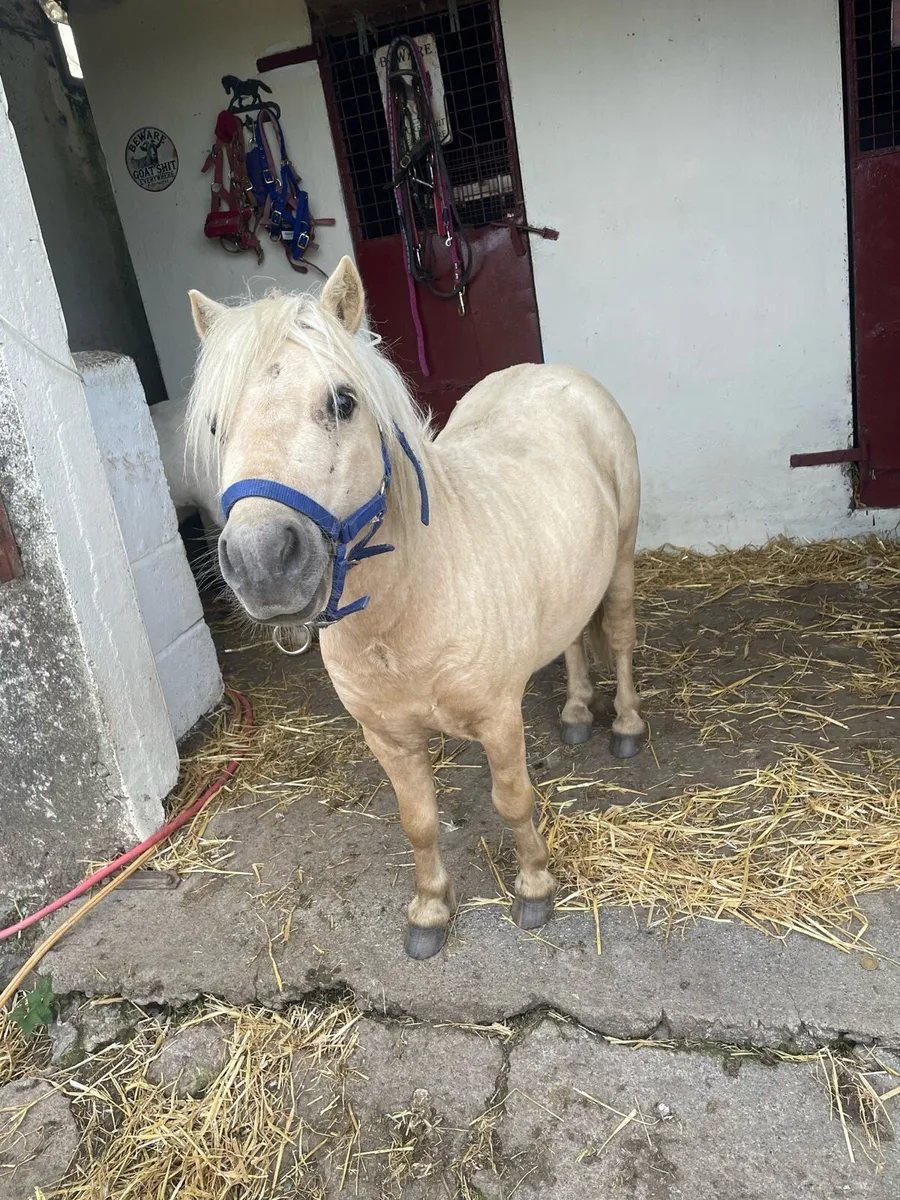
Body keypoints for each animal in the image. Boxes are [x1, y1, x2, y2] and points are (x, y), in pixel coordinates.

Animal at [186, 255, 646, 959]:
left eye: (342, 402)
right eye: (215, 425)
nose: (262, 561)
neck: (407, 611)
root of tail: (557, 375)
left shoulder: (498, 719)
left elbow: (513, 800)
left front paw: (535, 888)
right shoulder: (389, 738)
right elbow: (419, 821)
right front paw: (430, 910)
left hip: (620, 559)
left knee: (617, 637)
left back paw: (623, 725)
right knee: (571, 640)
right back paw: (573, 712)